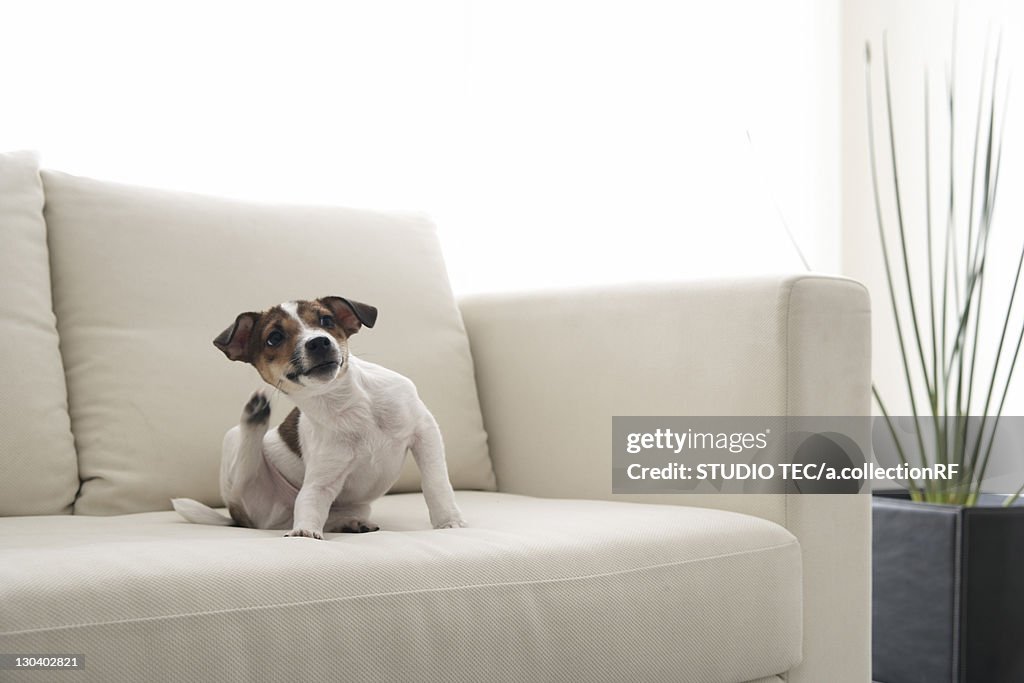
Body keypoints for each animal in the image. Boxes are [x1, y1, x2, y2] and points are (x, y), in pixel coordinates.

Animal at [173, 294, 468, 540]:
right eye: (274, 337)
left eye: (327, 321)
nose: (319, 341)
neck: (347, 404)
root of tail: (240, 520)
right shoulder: (323, 479)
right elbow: (311, 500)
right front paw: (305, 532)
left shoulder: (424, 433)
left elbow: (435, 483)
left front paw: (448, 521)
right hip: (236, 453)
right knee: (245, 470)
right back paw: (255, 413)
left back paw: (350, 523)